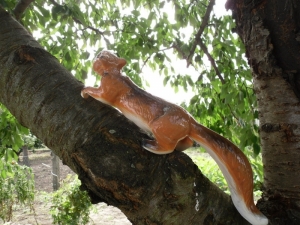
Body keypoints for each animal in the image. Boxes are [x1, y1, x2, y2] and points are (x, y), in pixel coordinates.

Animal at [81, 50, 268, 224]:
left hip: (160, 128)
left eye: (104, 57)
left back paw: (151, 145)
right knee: (187, 141)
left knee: (168, 147)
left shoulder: (108, 91)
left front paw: (84, 91)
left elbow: (99, 94)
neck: (114, 74)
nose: (97, 55)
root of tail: (191, 121)